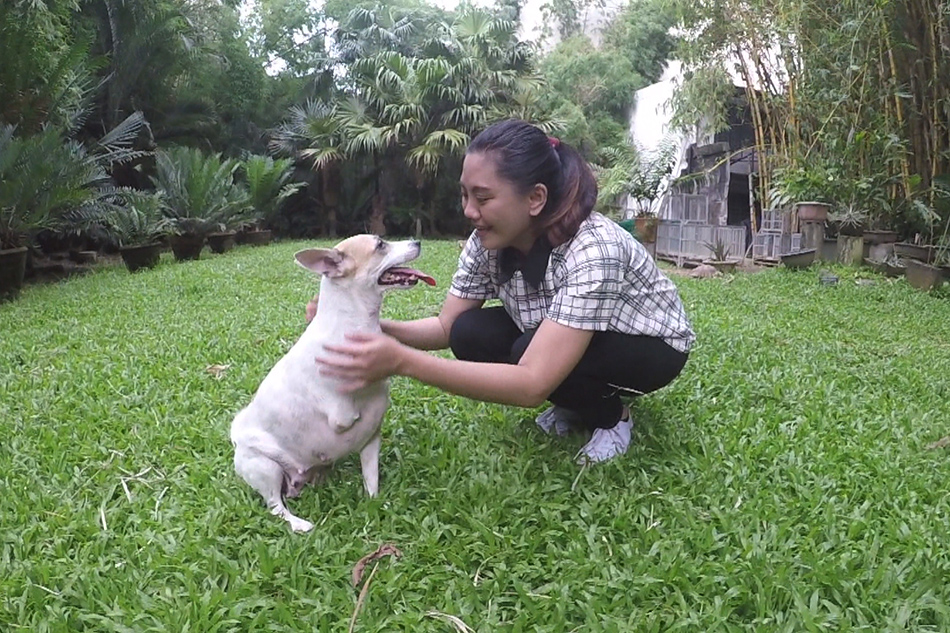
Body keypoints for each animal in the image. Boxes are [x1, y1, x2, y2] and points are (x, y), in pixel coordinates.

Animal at [234, 235, 436, 532]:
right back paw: (299, 524)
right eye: (380, 245)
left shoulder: (371, 440)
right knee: (275, 506)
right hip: (264, 467)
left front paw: (375, 502)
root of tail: (235, 438)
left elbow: (371, 478)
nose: (417, 240)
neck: (354, 323)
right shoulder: (342, 415)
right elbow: (350, 415)